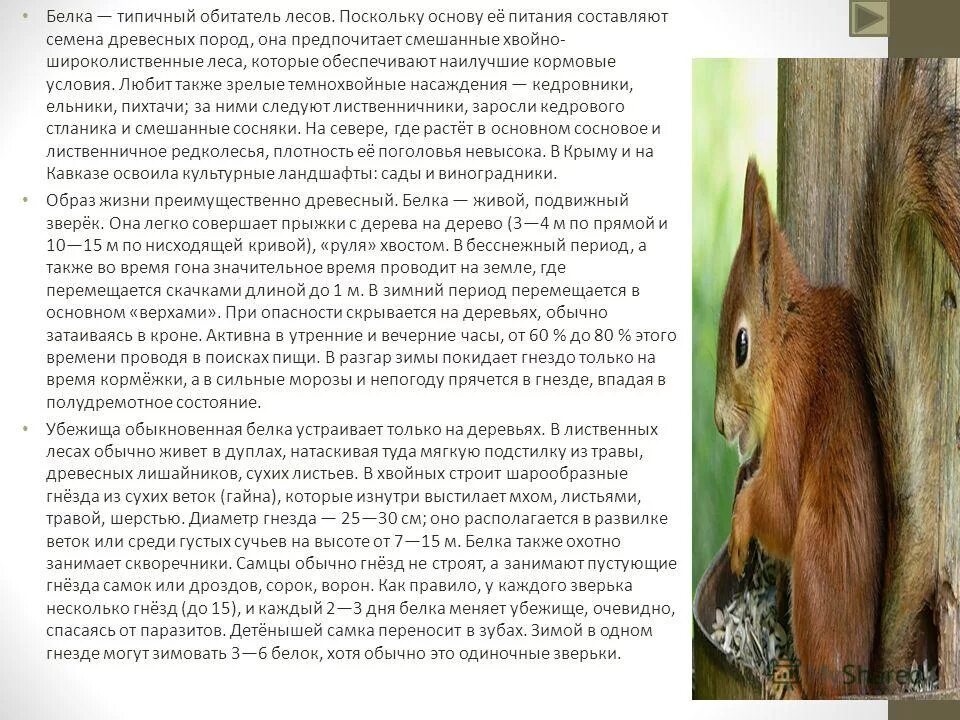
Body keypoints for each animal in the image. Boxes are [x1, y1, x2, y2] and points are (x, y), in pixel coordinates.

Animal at [713, 59, 960, 699]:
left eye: (741, 346)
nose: (720, 424)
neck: (787, 338)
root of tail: (867, 678)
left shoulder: (794, 402)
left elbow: (776, 502)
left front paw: (741, 521)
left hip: (815, 574)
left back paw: (793, 680)